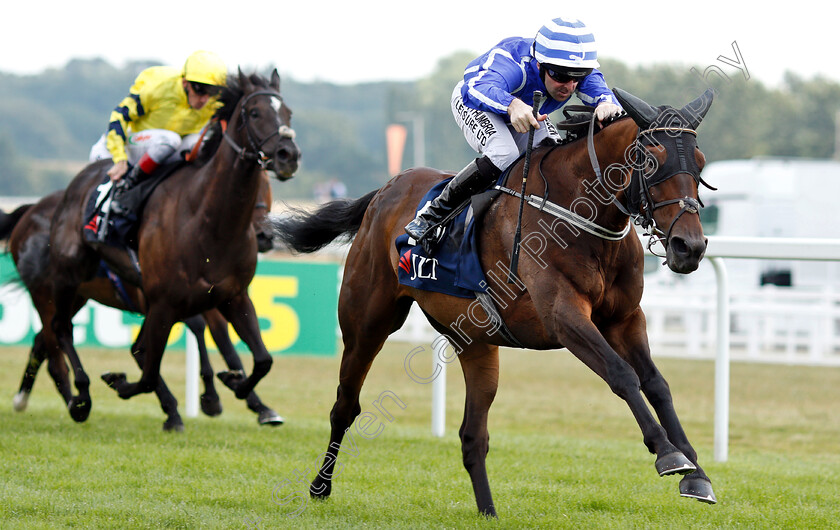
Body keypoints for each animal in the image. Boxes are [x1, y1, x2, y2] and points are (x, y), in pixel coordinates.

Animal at [0, 167, 284, 426]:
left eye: (268, 189)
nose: (264, 236)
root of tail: (30, 211)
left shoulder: (211, 298)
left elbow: (223, 343)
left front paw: (255, 403)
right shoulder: (160, 299)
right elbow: (179, 337)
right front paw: (204, 399)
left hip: (77, 297)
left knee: (43, 340)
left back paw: (31, 398)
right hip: (46, 294)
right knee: (55, 351)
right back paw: (75, 402)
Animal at [39, 70, 302, 420]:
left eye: (288, 113)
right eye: (255, 112)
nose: (289, 155)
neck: (209, 223)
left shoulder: (233, 296)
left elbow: (263, 360)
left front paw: (236, 385)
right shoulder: (165, 302)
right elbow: (148, 374)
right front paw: (125, 385)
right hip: (68, 276)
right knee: (61, 327)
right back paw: (80, 396)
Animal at [274, 88, 716, 512]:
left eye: (700, 162)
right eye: (651, 159)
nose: (689, 246)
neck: (579, 214)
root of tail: (386, 189)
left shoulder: (625, 318)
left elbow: (656, 383)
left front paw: (696, 473)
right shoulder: (564, 316)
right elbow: (622, 374)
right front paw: (668, 454)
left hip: (476, 343)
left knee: (473, 436)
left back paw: (488, 510)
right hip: (367, 322)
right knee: (345, 406)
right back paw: (319, 486)